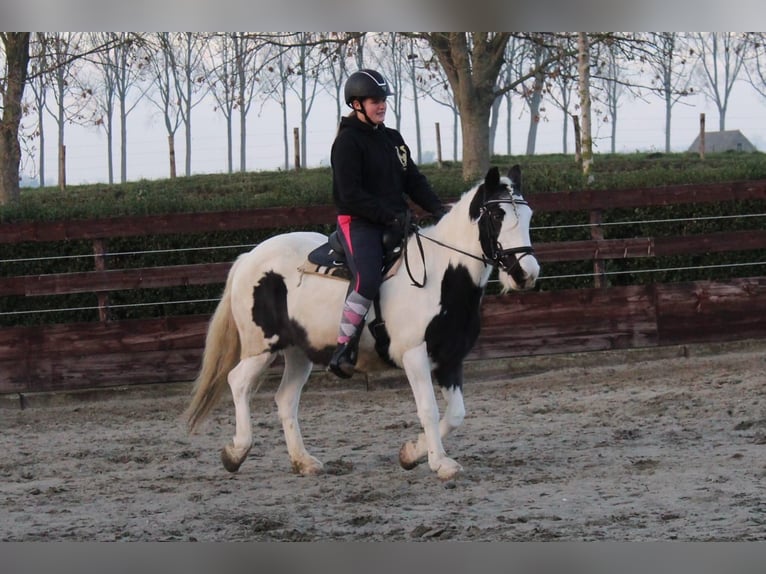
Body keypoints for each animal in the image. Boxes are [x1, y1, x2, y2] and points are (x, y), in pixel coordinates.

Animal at [188, 166, 540, 482]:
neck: (442, 275)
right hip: (262, 346)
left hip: (300, 352)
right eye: (497, 216)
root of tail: (249, 258)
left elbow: (455, 414)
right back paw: (235, 453)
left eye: (529, 215)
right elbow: (428, 408)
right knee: (238, 382)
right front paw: (440, 464)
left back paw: (304, 462)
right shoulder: (414, 355)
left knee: (285, 399)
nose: (526, 273)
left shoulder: (450, 359)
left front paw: (411, 453)